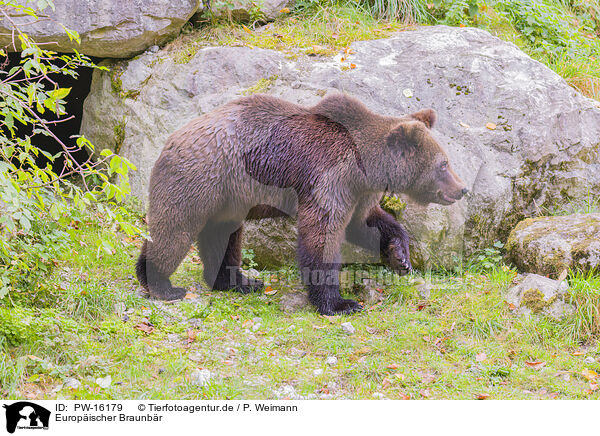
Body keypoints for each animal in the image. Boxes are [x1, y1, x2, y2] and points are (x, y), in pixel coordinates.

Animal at [136, 93, 468, 316]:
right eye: (443, 164)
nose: (461, 189)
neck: (365, 168)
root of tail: (171, 139)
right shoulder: (328, 177)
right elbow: (323, 235)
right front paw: (340, 302)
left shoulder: (358, 192)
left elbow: (366, 223)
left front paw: (400, 256)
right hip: (201, 179)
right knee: (175, 230)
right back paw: (162, 283)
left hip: (227, 200)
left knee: (223, 237)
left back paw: (238, 280)